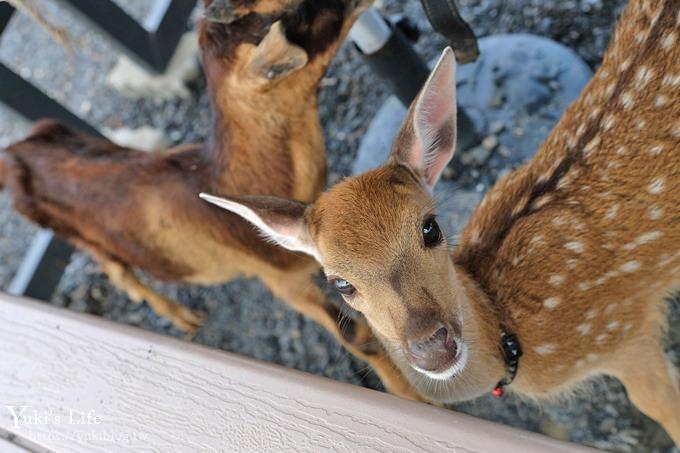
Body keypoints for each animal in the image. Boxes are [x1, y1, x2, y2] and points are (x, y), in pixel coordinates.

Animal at [0, 2, 424, 400]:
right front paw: (411, 397)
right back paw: (183, 317)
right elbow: (355, 334)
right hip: (74, 234)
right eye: (294, 12)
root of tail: (13, 152)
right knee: (118, 270)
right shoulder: (279, 279)